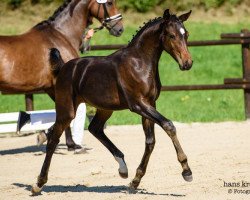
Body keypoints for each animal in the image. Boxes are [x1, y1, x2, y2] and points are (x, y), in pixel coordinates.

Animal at [31, 9, 193, 194]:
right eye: (172, 35)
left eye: (186, 34)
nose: (187, 63)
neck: (139, 63)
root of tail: (64, 67)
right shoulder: (138, 105)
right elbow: (168, 125)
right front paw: (186, 171)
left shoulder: (150, 104)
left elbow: (150, 141)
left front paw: (135, 181)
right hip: (67, 110)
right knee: (53, 139)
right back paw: (38, 183)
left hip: (104, 108)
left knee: (94, 128)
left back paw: (123, 168)